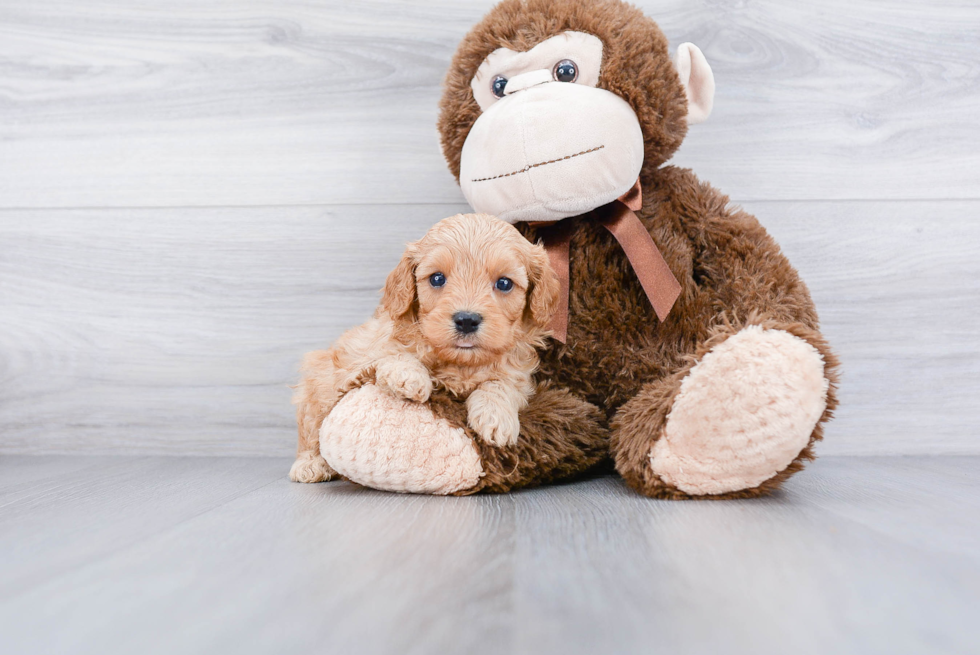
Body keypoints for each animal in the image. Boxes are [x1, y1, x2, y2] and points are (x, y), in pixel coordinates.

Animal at [290, 213, 560, 484]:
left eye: (504, 283)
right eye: (437, 278)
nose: (466, 320)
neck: (460, 363)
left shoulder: (517, 373)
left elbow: (501, 384)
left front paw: (495, 418)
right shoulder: (359, 354)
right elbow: (391, 353)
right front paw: (409, 377)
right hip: (318, 379)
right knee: (310, 427)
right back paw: (310, 464)